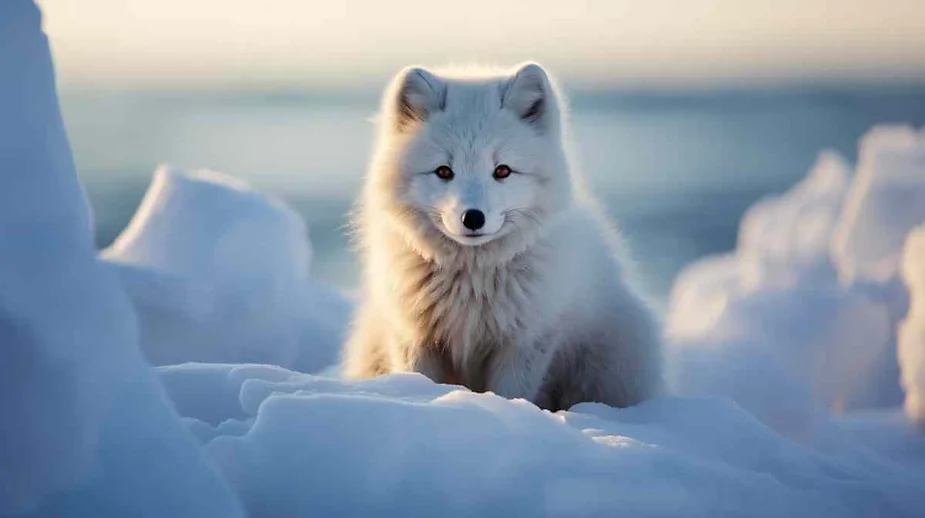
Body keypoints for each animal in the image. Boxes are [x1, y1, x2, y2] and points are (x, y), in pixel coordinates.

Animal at [342, 63, 660, 412]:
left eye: (503, 171)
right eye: (443, 171)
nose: (473, 217)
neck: (470, 283)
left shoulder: (526, 342)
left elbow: (511, 393)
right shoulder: (414, 337)